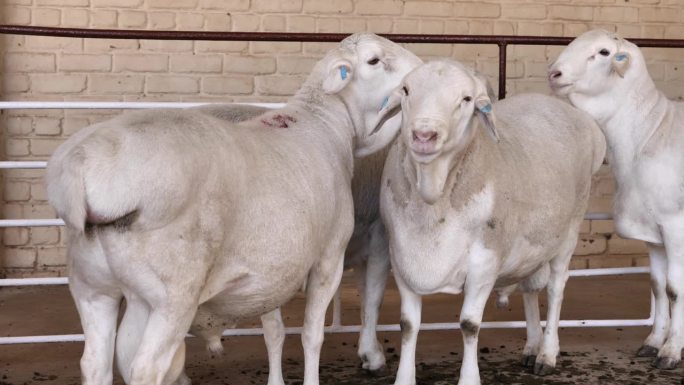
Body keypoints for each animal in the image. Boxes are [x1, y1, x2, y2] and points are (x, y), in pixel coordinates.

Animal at [46, 33, 422, 384]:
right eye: (374, 60)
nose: (421, 71)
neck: (328, 121)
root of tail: (83, 166)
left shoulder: (279, 268)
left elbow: (277, 331)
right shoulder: (328, 258)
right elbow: (313, 335)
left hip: (94, 288)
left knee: (94, 365)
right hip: (172, 295)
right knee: (145, 369)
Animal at [374, 58, 604, 382]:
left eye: (467, 99)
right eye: (406, 90)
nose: (424, 135)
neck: (433, 198)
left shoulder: (484, 263)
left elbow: (469, 325)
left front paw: (469, 379)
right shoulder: (403, 260)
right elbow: (407, 325)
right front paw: (404, 378)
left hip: (569, 231)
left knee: (556, 288)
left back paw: (547, 354)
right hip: (532, 244)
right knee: (530, 288)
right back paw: (532, 346)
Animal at [552, 28, 684, 368]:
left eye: (603, 52)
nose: (554, 73)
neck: (650, 130)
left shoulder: (676, 226)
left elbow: (675, 289)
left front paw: (671, 351)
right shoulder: (653, 231)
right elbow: (658, 287)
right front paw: (653, 342)